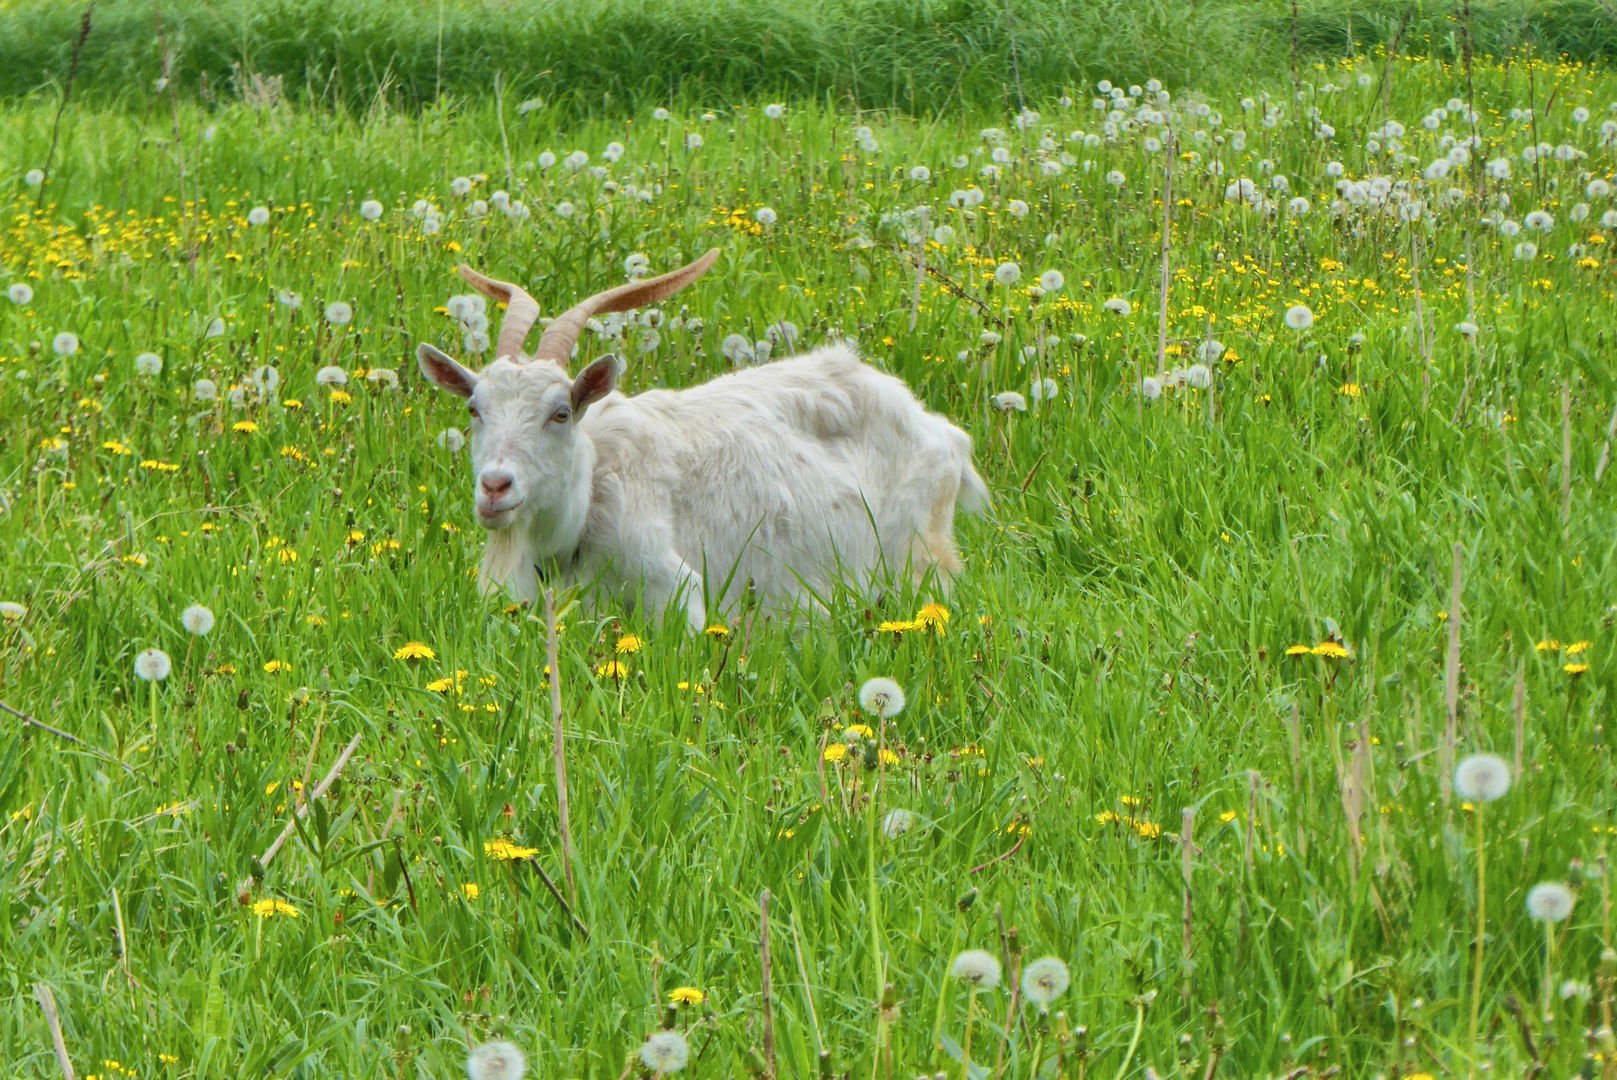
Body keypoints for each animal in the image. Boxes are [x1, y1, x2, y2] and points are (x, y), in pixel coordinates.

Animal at [417, 248, 983, 627]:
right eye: (475, 409)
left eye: (560, 413)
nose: (495, 488)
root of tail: (941, 432)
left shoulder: (676, 589)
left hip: (920, 560)